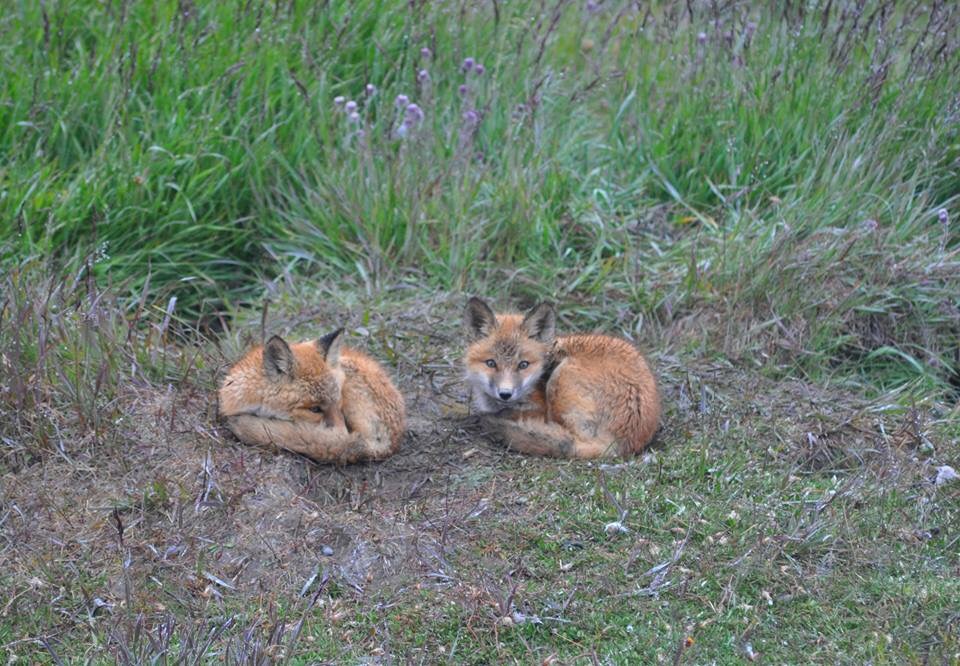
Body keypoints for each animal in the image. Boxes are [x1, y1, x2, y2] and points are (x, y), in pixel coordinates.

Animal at [463, 297, 660, 459]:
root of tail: (617, 445)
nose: (505, 394)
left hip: (560, 379)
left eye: (523, 365)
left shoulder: (539, 407)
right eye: (491, 363)